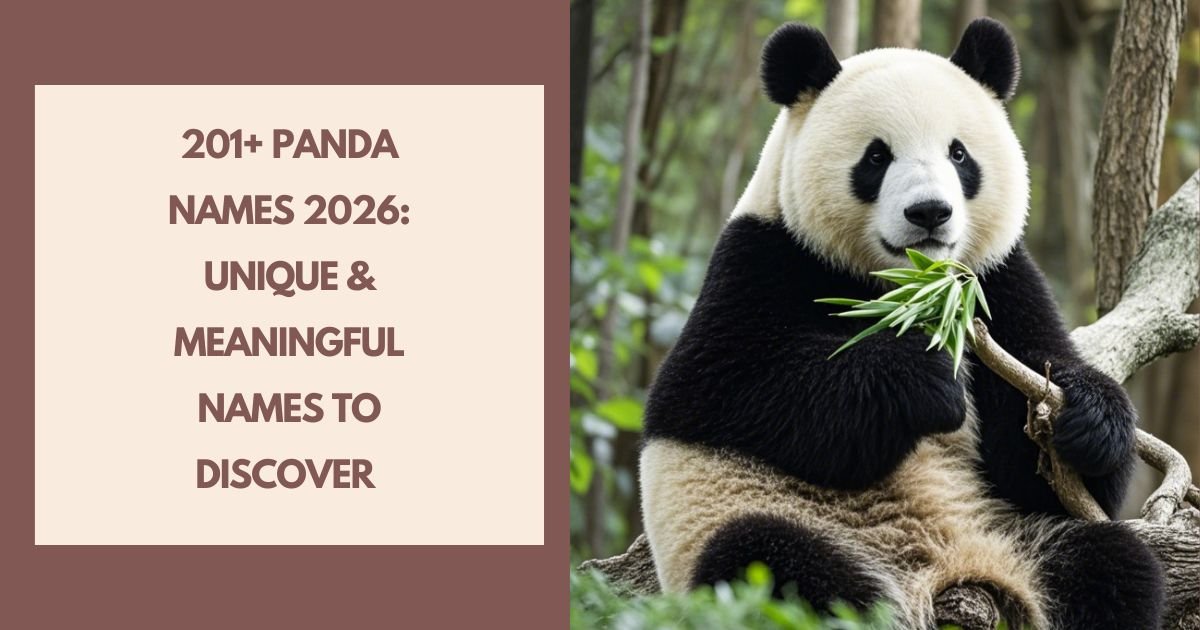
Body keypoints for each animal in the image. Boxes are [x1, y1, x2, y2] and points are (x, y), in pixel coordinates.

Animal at [639, 18, 1165, 629]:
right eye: (875, 157)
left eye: (958, 154)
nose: (930, 213)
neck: (906, 284)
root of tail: (946, 573)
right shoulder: (760, 259)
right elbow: (720, 388)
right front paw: (924, 379)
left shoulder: (999, 281)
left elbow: (1041, 457)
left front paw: (1085, 417)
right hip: (782, 527)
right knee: (767, 560)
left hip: (1017, 539)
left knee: (1111, 568)